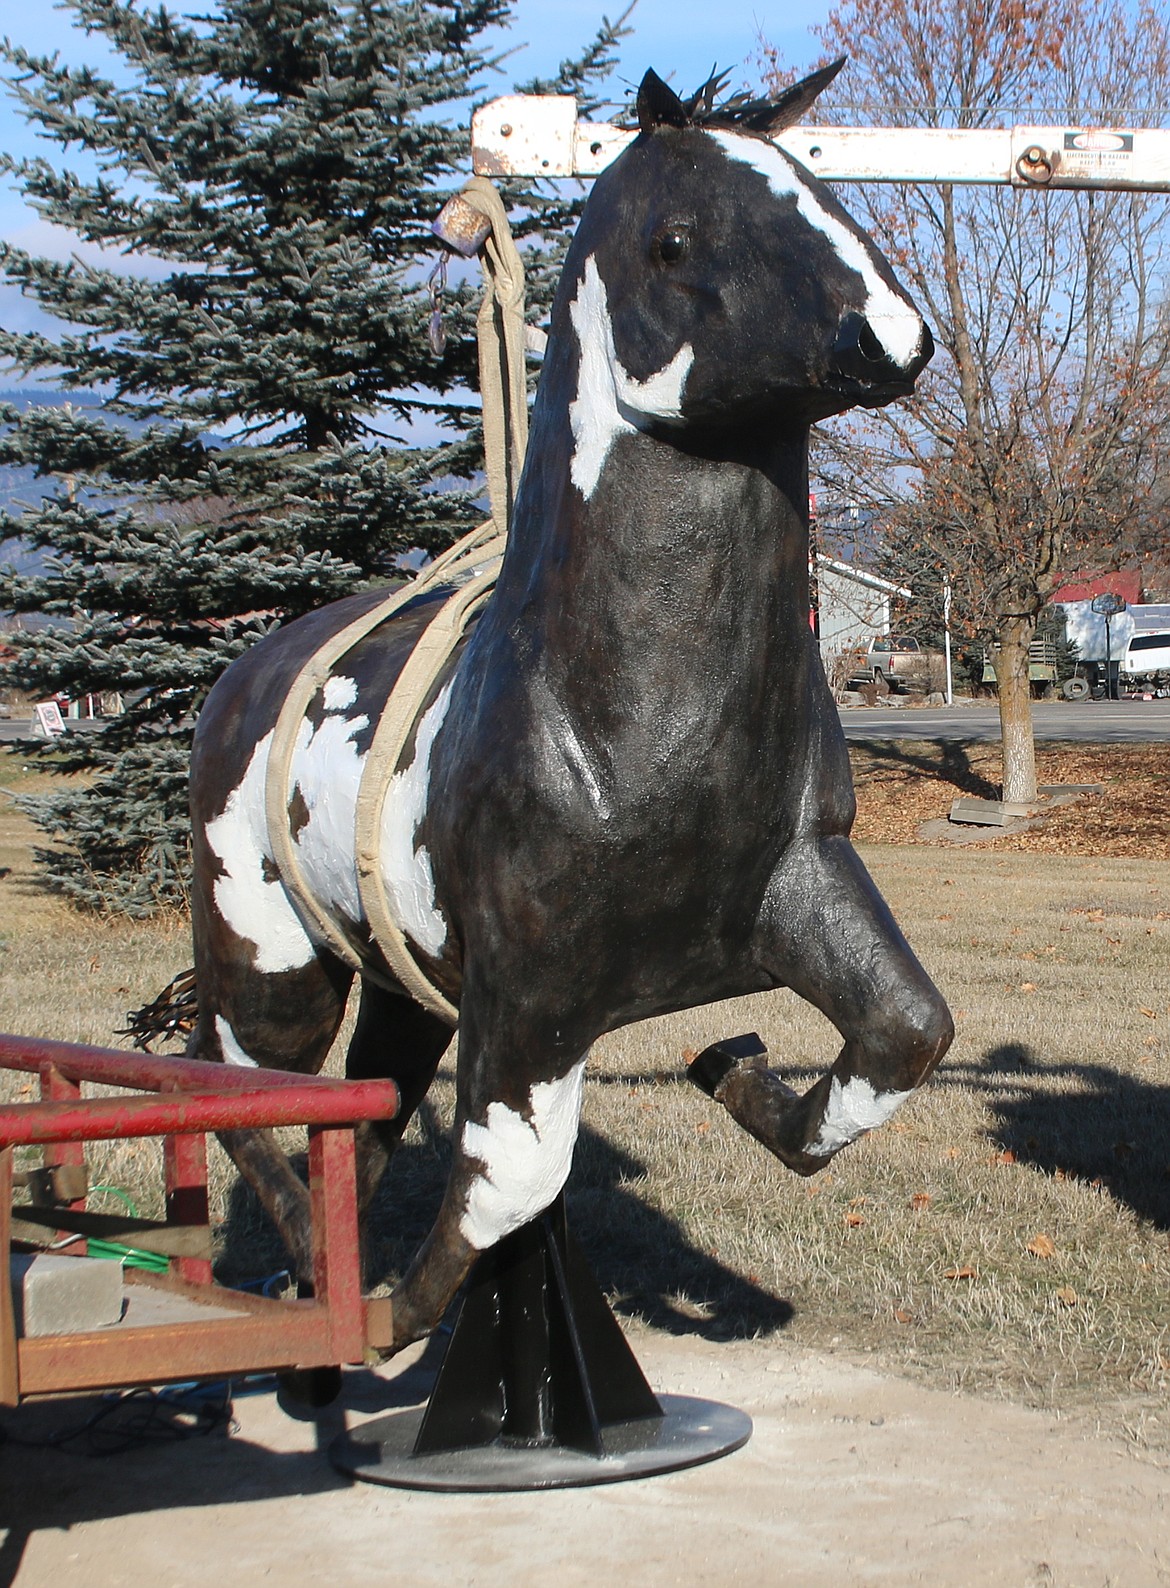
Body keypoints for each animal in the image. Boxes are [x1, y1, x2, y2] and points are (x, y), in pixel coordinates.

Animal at [189, 65, 952, 1352]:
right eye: (675, 239)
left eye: (831, 195)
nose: (889, 339)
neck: (620, 727)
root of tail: (239, 676)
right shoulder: (531, 998)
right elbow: (510, 1186)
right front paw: (386, 1323)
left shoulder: (805, 884)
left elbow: (906, 1035)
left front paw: (730, 1065)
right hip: (272, 953)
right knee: (241, 1084)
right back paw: (309, 1286)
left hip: (400, 982)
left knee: (361, 1106)